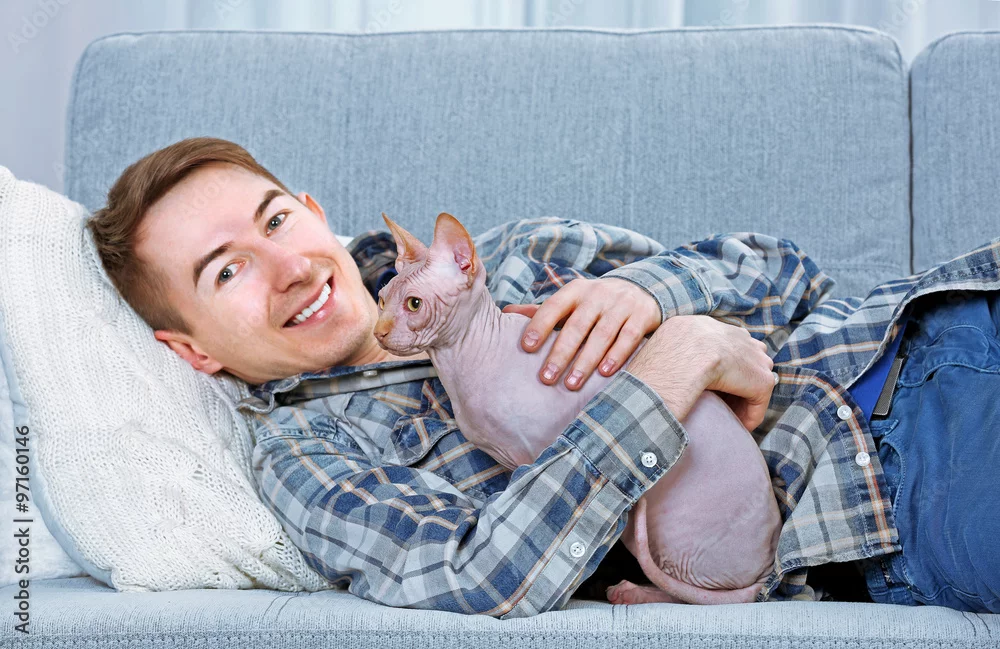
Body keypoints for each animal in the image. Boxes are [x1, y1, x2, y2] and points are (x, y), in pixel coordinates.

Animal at [373, 212, 782, 606]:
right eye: (381, 299)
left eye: (414, 304)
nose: (379, 332)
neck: (463, 359)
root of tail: (769, 568)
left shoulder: (531, 454)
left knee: (687, 592)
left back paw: (631, 591)